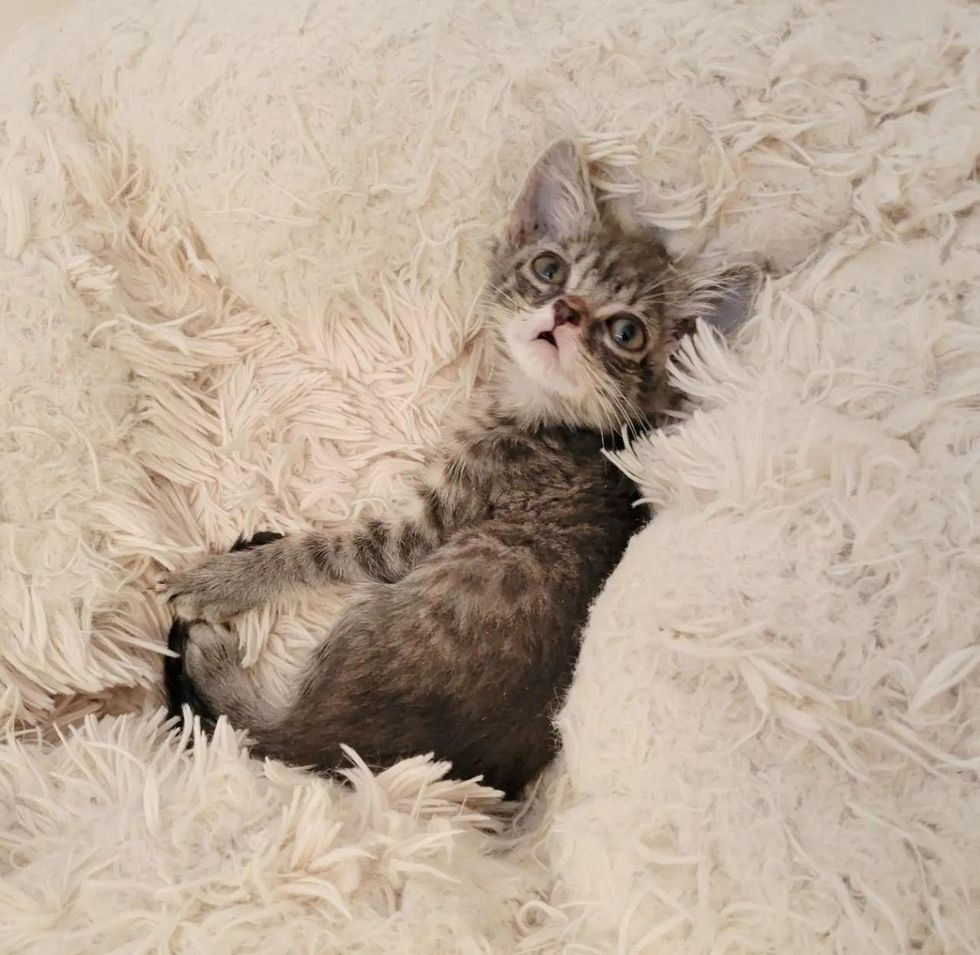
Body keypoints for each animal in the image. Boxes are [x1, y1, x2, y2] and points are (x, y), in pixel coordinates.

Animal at [163, 140, 756, 800]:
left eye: (626, 331)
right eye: (548, 269)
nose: (566, 312)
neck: (545, 417)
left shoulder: (426, 527)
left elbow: (326, 551)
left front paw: (226, 580)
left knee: (259, 737)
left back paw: (216, 661)